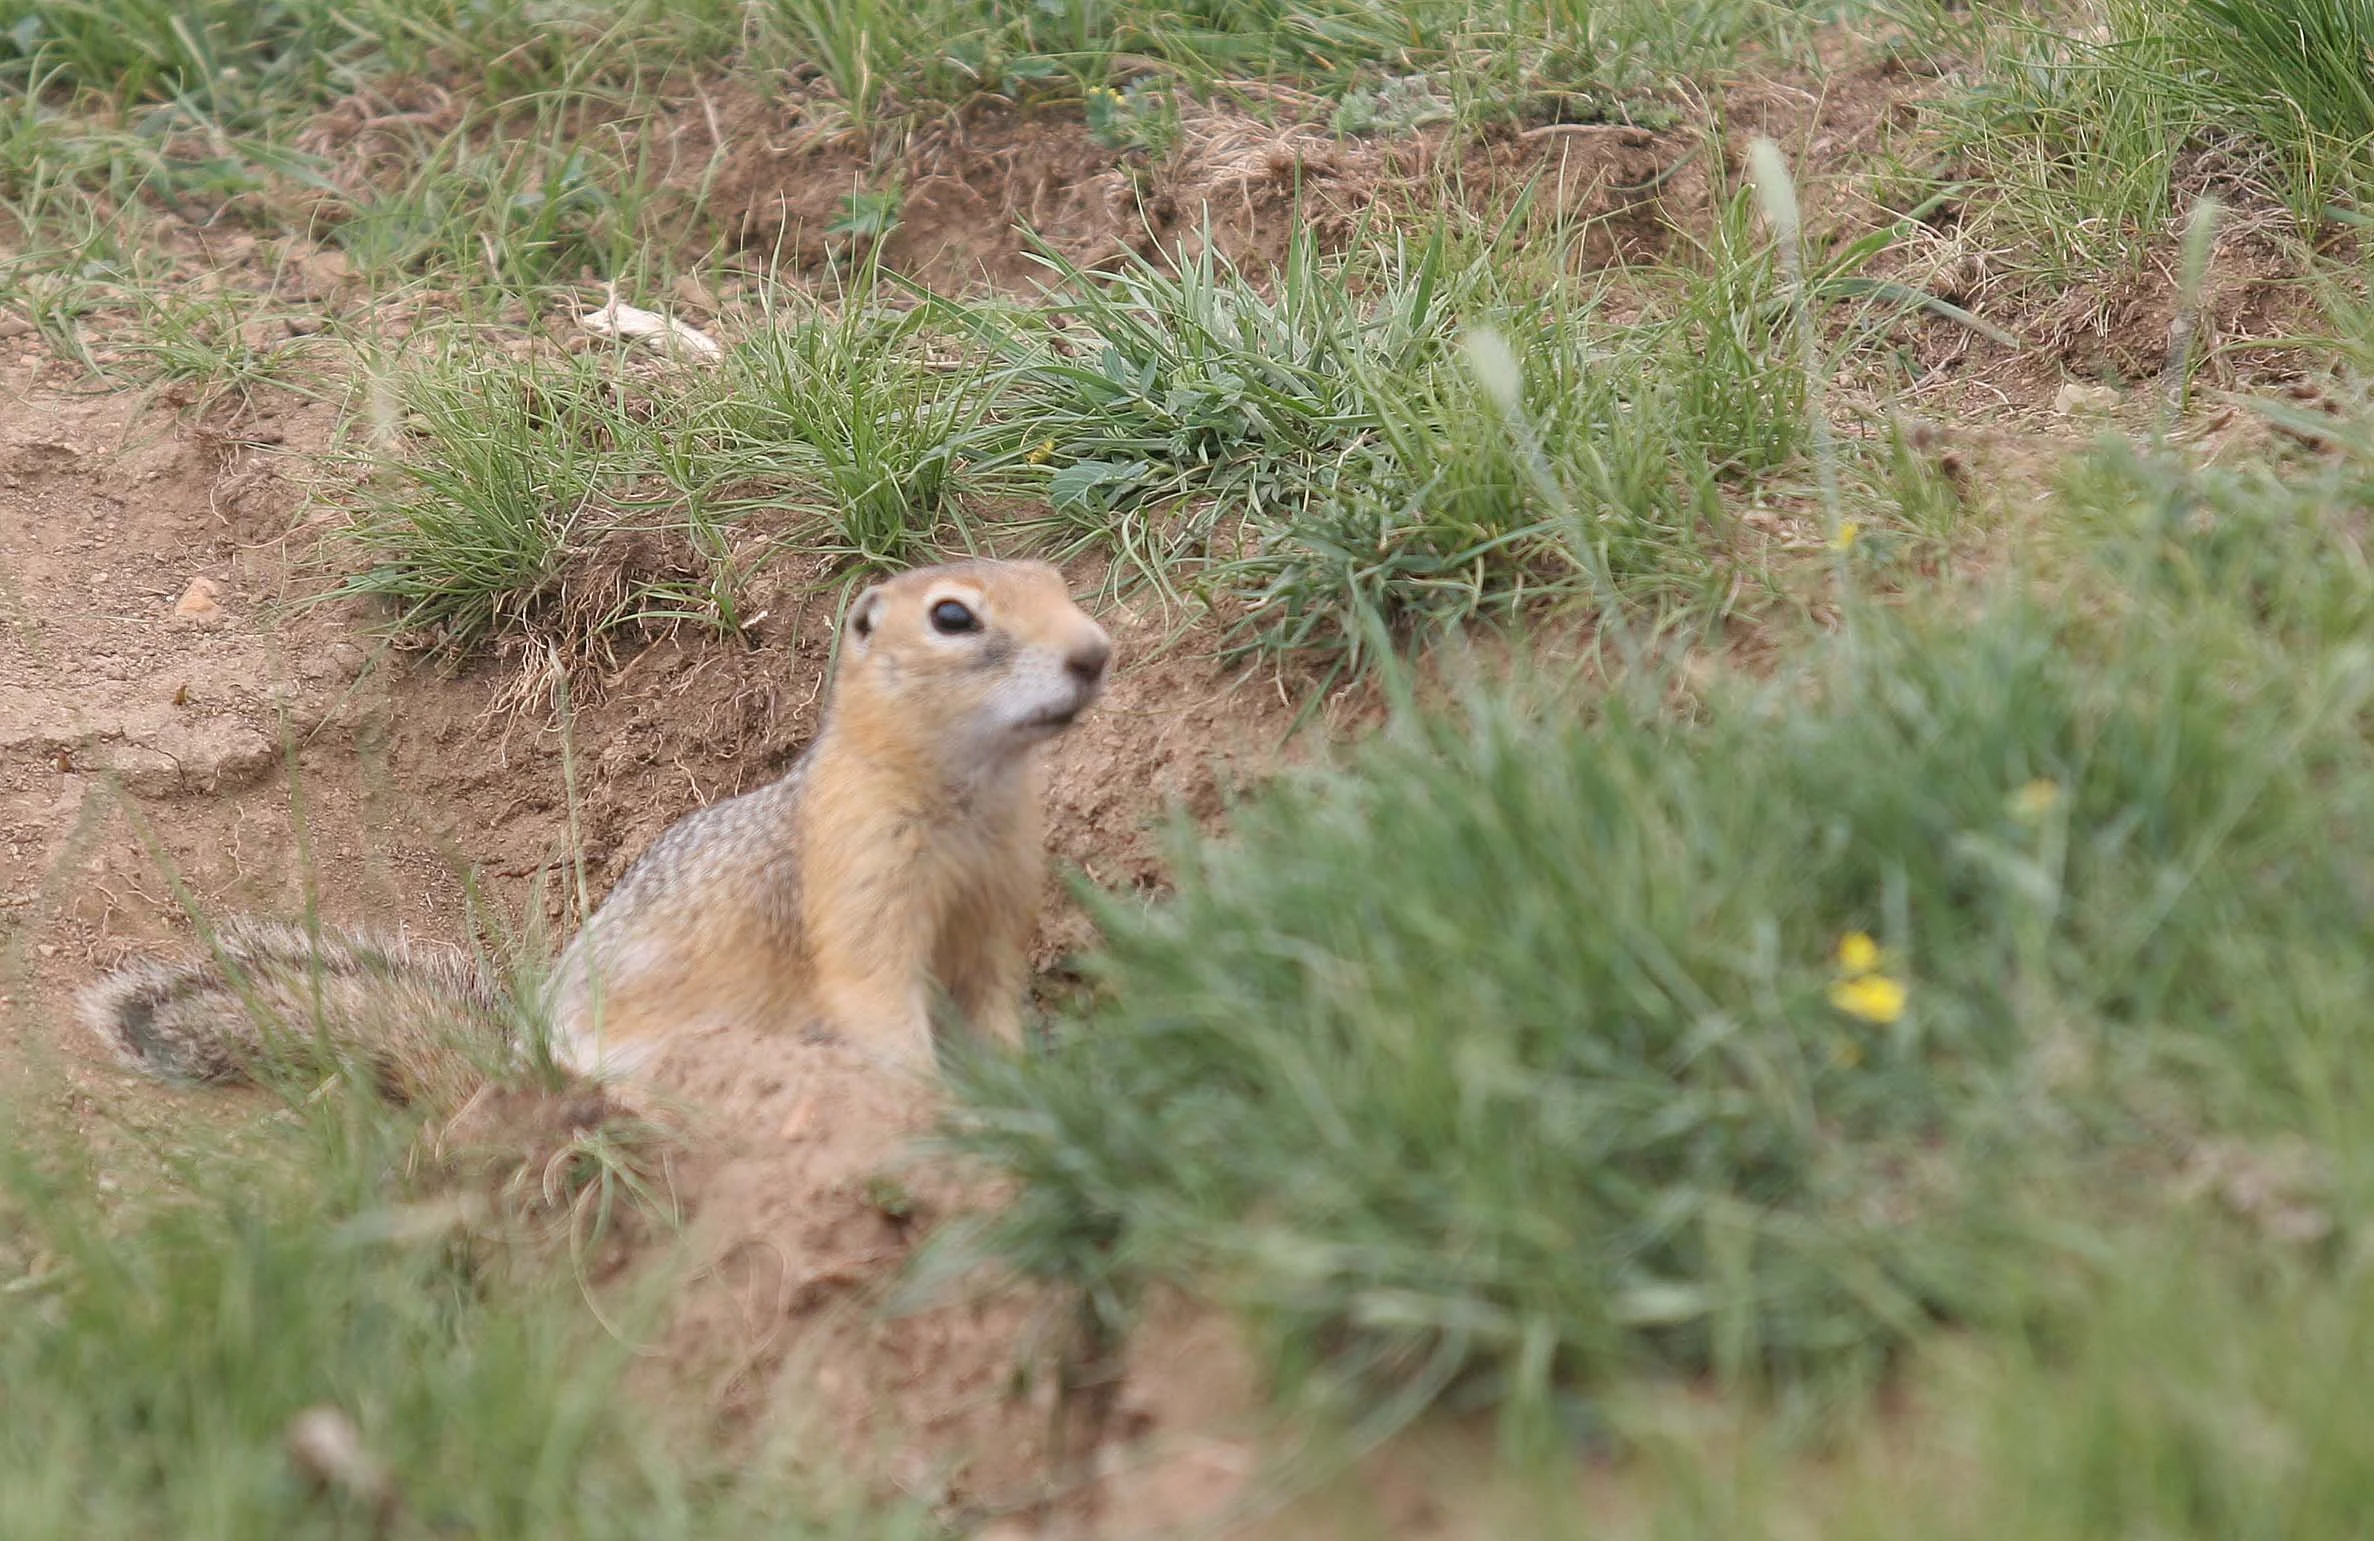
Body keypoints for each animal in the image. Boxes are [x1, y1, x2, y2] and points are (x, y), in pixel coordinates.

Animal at [78, 559, 1113, 1103]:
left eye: (1061, 583)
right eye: (953, 616)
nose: (1096, 652)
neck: (970, 797)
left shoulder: (994, 918)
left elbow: (991, 1011)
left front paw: (1024, 1091)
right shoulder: (862, 900)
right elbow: (881, 1010)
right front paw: (932, 1111)